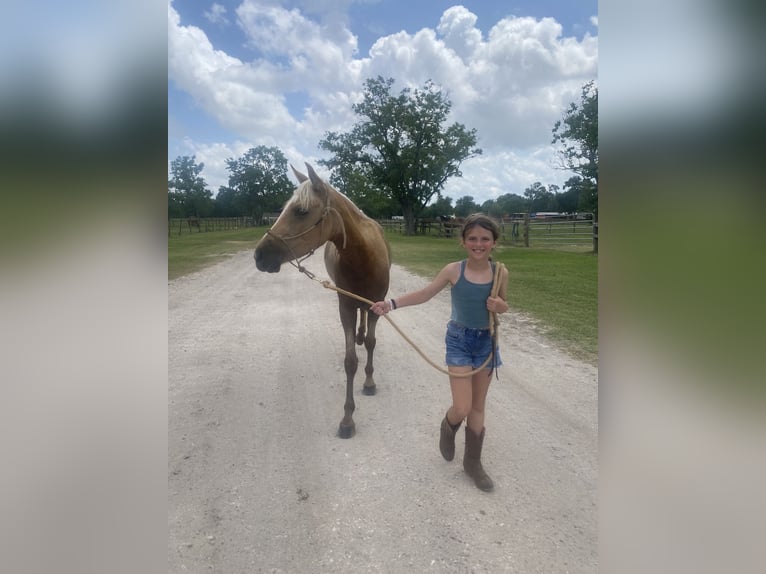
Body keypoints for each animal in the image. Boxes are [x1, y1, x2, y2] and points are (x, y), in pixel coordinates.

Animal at [254, 163, 391, 438]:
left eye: (301, 211)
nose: (259, 255)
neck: (365, 258)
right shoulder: (346, 306)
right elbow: (350, 361)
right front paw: (347, 418)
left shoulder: (376, 305)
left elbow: (372, 343)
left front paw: (369, 382)